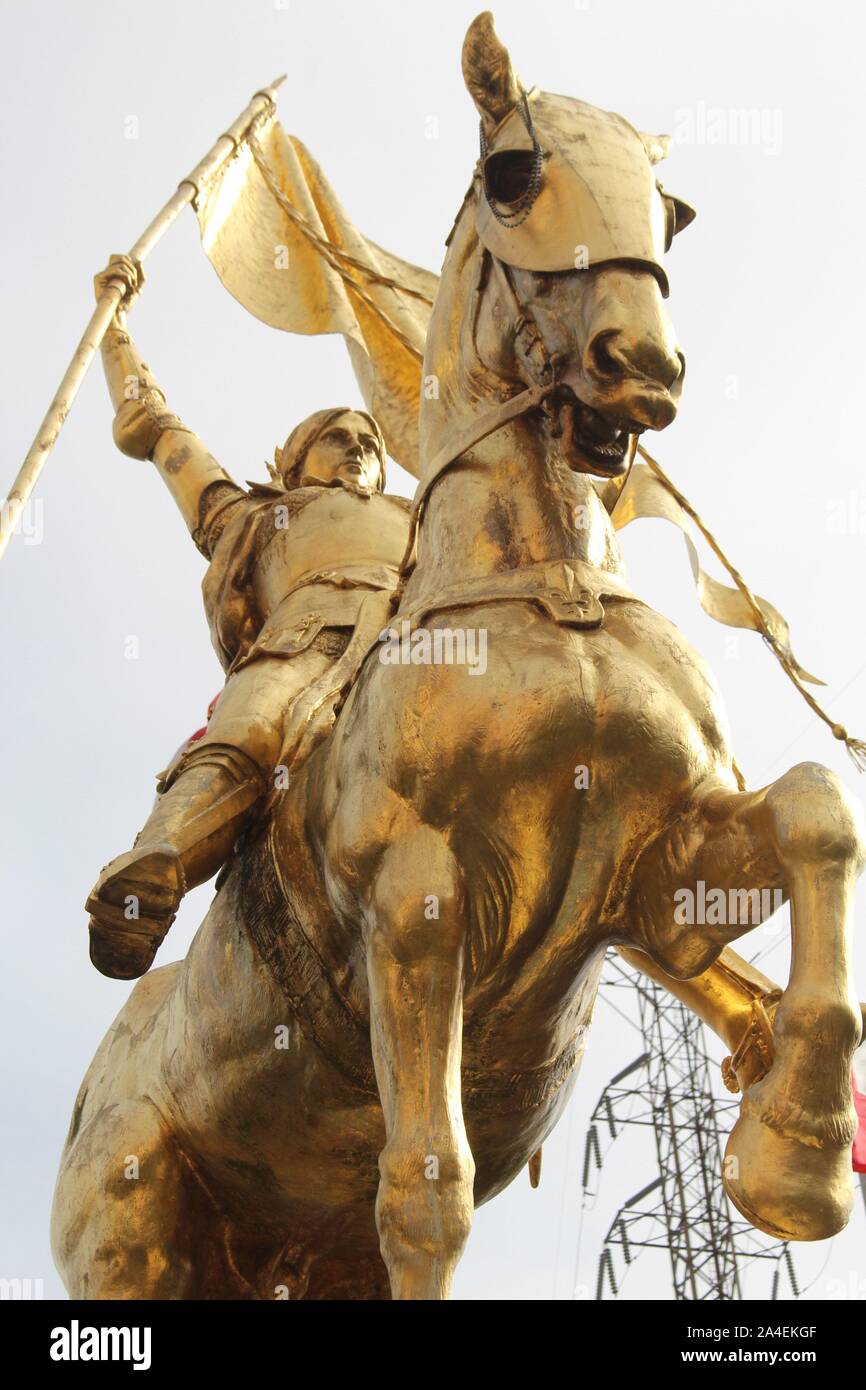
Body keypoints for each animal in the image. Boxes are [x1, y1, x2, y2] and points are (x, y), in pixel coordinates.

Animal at [50, 13, 861, 1301]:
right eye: (513, 174)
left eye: (673, 209)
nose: (641, 367)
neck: (547, 590)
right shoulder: (417, 900)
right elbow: (427, 1191)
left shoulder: (656, 875)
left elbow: (817, 810)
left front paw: (796, 1158)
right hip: (130, 1220)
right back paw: (133, 902)